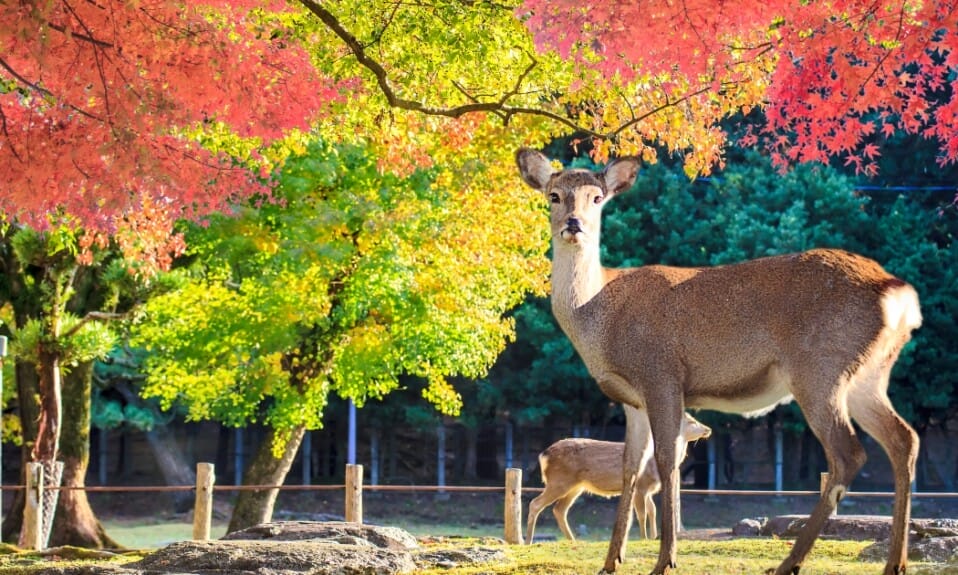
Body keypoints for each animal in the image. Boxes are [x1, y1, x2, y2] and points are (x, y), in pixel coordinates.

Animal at [524, 410, 712, 544]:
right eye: (691, 421)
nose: (708, 429)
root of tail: (543, 455)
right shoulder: (641, 485)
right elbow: (641, 513)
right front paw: (644, 537)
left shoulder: (649, 489)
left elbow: (652, 510)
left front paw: (653, 537)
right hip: (559, 481)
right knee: (536, 503)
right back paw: (528, 541)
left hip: (575, 486)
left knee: (559, 509)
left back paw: (573, 540)